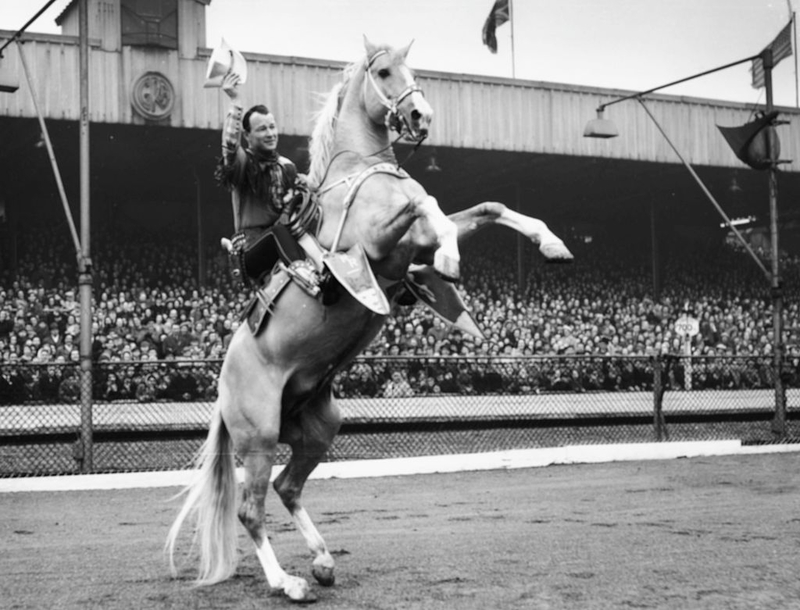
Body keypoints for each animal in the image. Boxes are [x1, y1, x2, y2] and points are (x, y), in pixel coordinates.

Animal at [166, 35, 572, 600]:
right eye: (383, 72)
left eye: (412, 70)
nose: (421, 115)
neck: (358, 169)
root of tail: (223, 389)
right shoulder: (380, 244)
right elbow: (429, 202)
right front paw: (450, 258)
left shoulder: (411, 244)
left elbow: (485, 206)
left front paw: (551, 243)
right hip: (259, 434)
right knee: (251, 509)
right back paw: (288, 583)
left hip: (318, 425)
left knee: (287, 487)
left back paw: (322, 561)